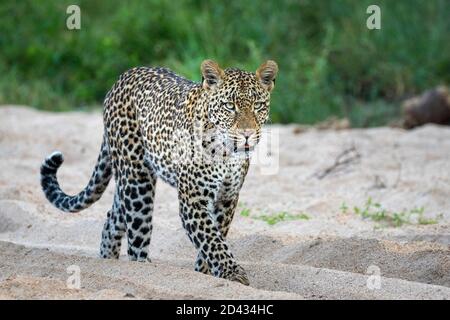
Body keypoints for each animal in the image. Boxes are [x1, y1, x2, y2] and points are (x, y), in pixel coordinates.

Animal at [40, 58, 278, 284]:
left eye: (258, 105)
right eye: (229, 106)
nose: (247, 134)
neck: (227, 154)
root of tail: (123, 77)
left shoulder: (227, 198)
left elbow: (214, 238)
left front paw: (206, 274)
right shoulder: (193, 199)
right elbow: (211, 239)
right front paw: (232, 273)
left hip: (128, 182)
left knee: (113, 218)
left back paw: (108, 263)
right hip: (137, 181)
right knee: (136, 235)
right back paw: (144, 269)